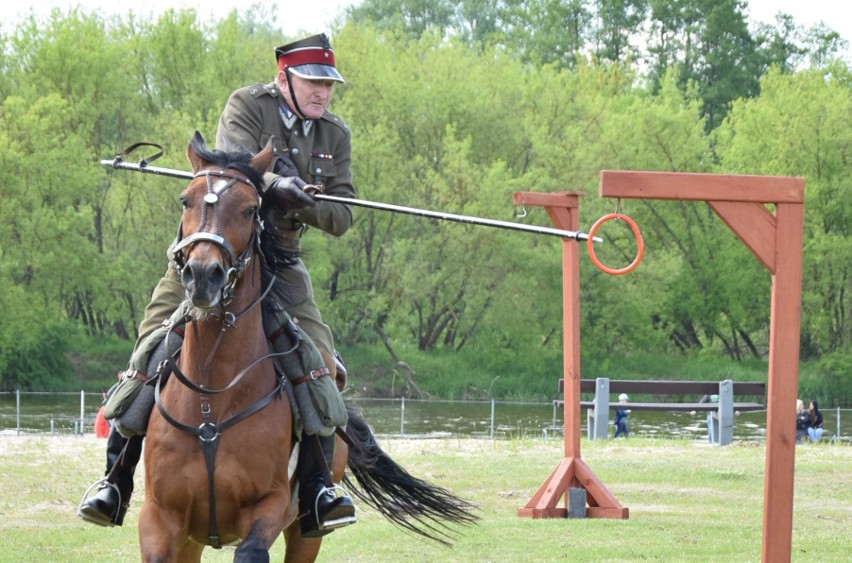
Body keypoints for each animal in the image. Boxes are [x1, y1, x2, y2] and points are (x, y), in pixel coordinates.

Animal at [141, 131, 480, 560]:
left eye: (251, 209)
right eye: (186, 199)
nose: (204, 275)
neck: (210, 399)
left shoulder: (270, 508)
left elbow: (251, 549)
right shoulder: (160, 521)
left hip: (306, 532)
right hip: (192, 540)